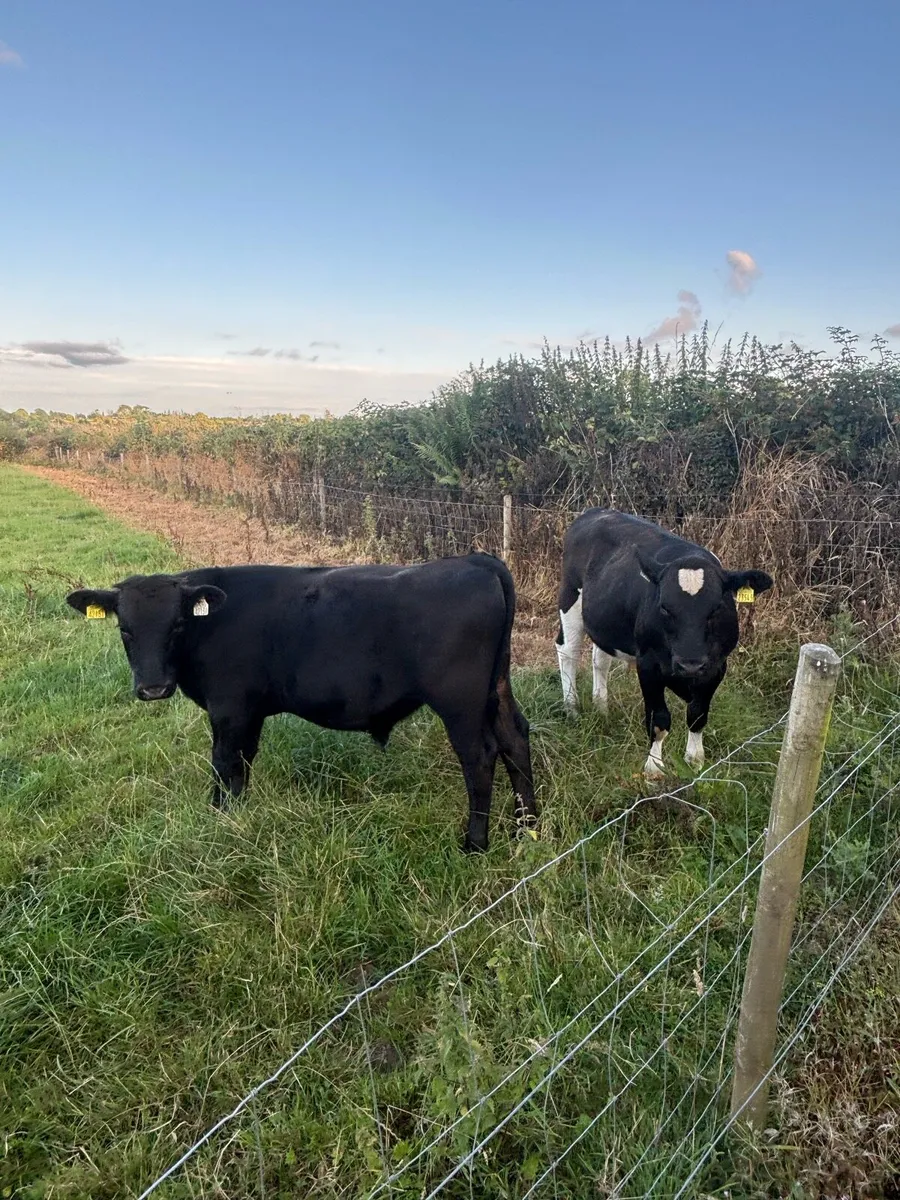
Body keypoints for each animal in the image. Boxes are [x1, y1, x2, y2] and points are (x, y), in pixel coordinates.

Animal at [66, 554, 537, 853]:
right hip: (497, 687)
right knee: (515, 739)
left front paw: (219, 819)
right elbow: (243, 763)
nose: (153, 688)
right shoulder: (249, 712)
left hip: (460, 701)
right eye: (125, 629)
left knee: (480, 756)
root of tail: (474, 561)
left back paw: (475, 843)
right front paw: (237, 813)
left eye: (178, 624)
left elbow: (224, 762)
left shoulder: (229, 707)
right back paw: (526, 829)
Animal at [555, 509, 773, 780]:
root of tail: (596, 511)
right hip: (570, 597)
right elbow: (659, 720)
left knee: (600, 659)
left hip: (605, 620)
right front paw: (654, 768)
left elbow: (698, 715)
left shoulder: (717, 666)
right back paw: (572, 708)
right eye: (664, 608)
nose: (690, 664)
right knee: (568, 652)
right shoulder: (648, 664)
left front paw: (694, 761)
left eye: (716, 608)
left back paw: (601, 708)